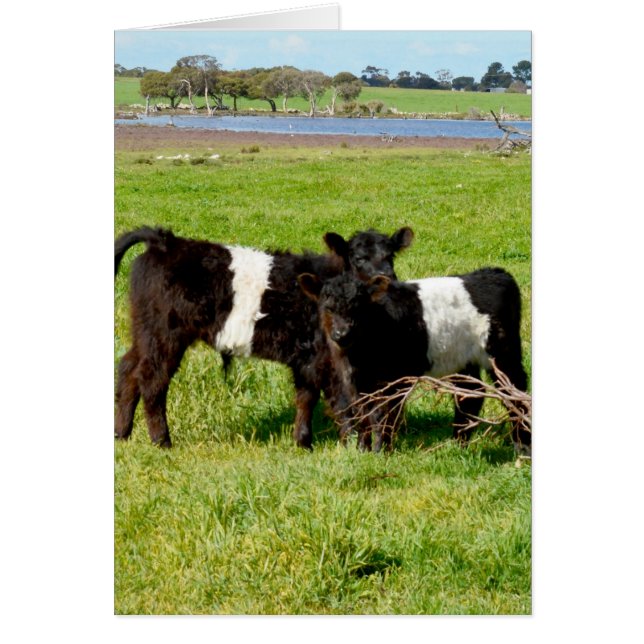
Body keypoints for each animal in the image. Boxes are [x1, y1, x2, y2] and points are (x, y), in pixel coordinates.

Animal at [114, 225, 414, 448]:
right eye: (359, 258)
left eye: (391, 256)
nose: (388, 276)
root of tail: (165, 241)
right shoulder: (329, 358)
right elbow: (343, 402)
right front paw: (352, 445)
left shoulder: (307, 357)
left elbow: (306, 397)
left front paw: (303, 443)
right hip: (165, 334)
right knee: (152, 379)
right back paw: (162, 441)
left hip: (145, 331)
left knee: (128, 369)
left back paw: (121, 434)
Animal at [298, 268, 530, 455]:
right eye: (328, 307)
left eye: (359, 307)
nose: (342, 333)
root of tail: (497, 273)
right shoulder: (355, 382)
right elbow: (363, 415)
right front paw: (362, 451)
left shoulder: (392, 379)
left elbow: (382, 415)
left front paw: (380, 452)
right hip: (464, 361)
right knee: (470, 396)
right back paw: (458, 444)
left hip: (503, 355)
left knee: (515, 393)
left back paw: (523, 447)